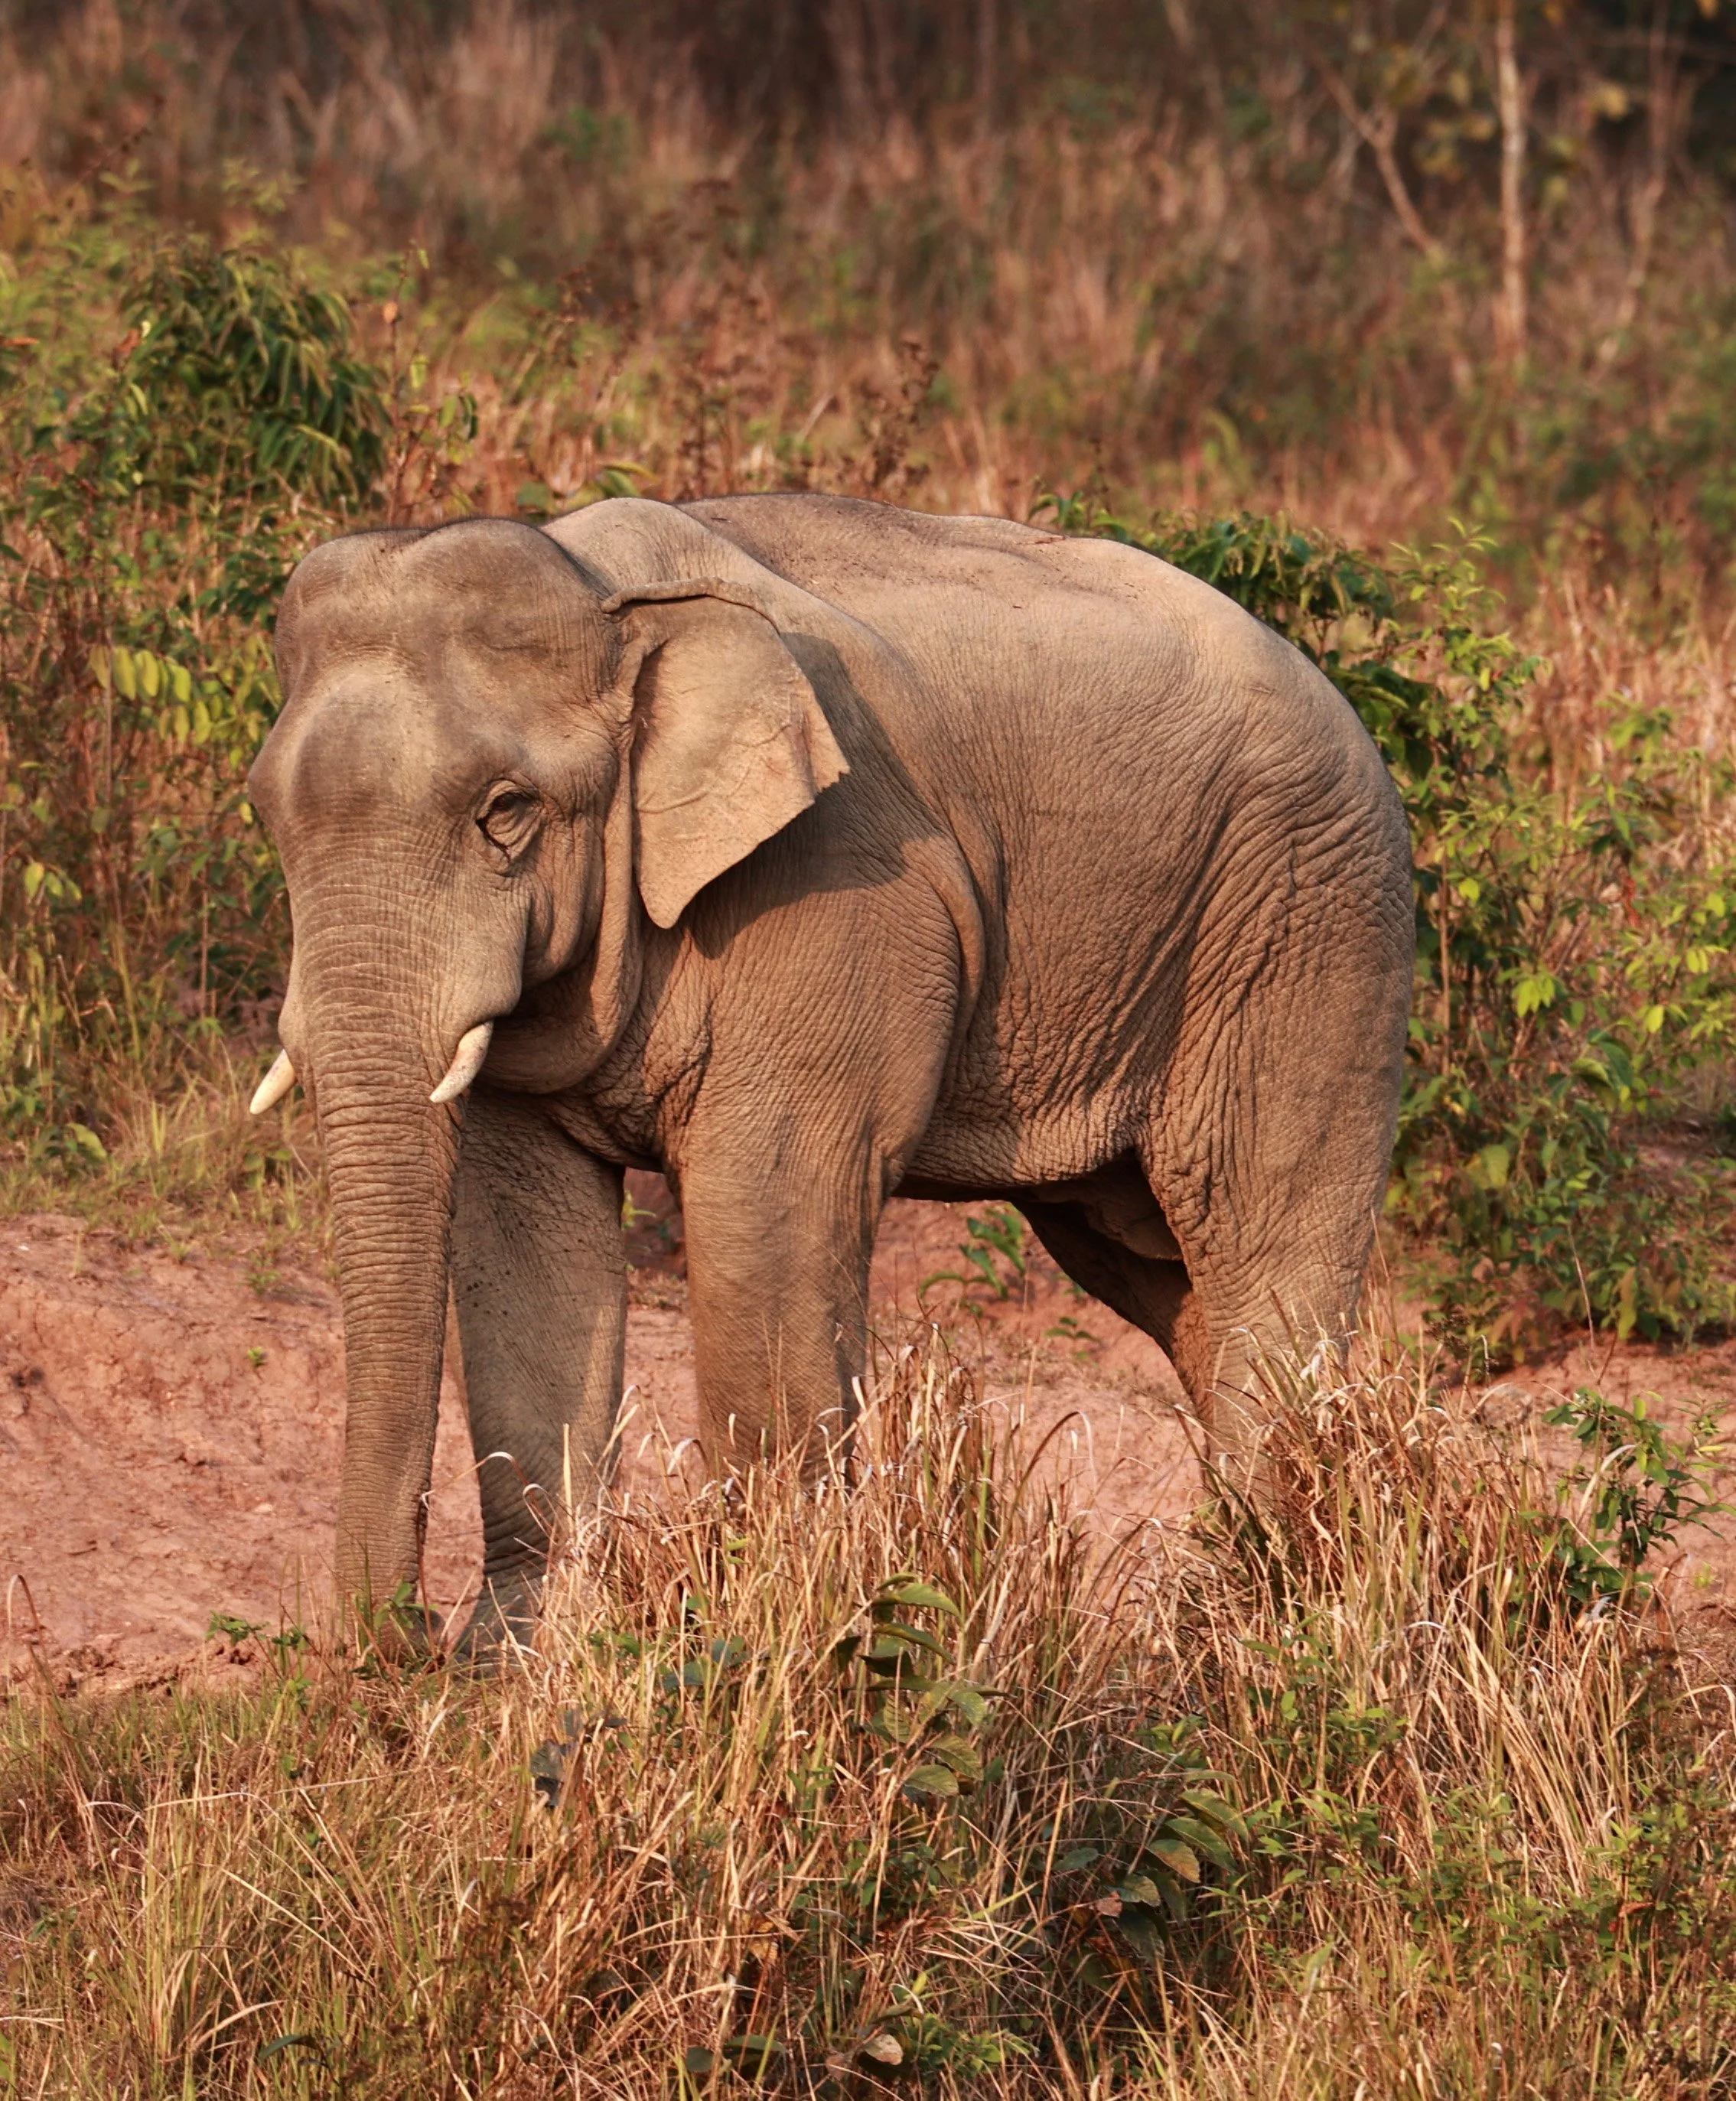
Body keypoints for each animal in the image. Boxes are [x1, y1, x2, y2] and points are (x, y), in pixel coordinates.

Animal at [246, 493, 1414, 1646]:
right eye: (268, 812)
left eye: (506, 811)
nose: (398, 1638)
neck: (602, 590)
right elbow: (524, 1234)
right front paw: (522, 1653)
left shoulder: (837, 891)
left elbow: (770, 1201)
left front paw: (758, 1618)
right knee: (1161, 1271)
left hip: (1305, 924)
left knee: (1259, 1243)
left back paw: (1276, 1614)